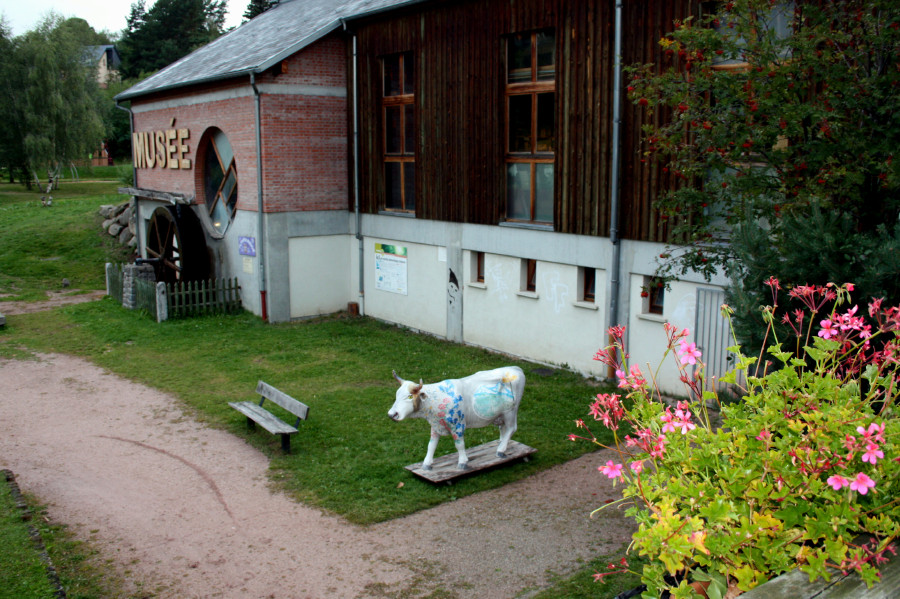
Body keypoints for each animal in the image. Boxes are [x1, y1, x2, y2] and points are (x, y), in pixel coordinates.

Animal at [388, 366, 528, 474]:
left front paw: (462, 462)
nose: (391, 414)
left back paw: (501, 449)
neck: (436, 399)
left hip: (510, 412)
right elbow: (431, 445)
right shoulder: (435, 425)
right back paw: (501, 443)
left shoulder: (458, 425)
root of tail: (516, 368)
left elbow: (459, 445)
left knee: (511, 428)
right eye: (396, 395)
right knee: (503, 428)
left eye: (409, 396)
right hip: (500, 414)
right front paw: (426, 464)